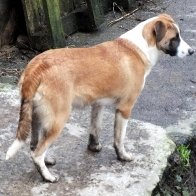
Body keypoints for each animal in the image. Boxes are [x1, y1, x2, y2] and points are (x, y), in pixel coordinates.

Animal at [5, 13, 194, 182]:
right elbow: (119, 138)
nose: (192, 51)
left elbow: (95, 129)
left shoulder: (98, 104)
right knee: (37, 153)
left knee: (33, 146)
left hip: (37, 117)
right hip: (57, 119)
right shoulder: (125, 108)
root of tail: (36, 67)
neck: (138, 47)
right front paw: (122, 156)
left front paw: (94, 147)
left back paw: (47, 160)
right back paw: (47, 177)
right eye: (175, 38)